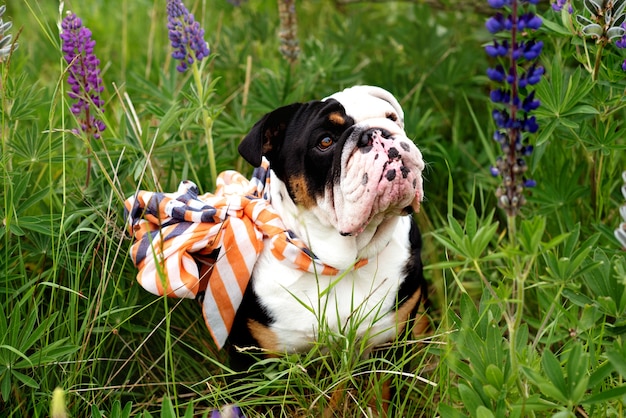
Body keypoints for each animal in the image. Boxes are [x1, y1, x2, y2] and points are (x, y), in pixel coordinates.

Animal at [229, 84, 428, 360]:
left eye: (391, 118)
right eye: (325, 141)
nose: (376, 133)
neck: (342, 264)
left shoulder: (394, 338)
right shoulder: (253, 353)